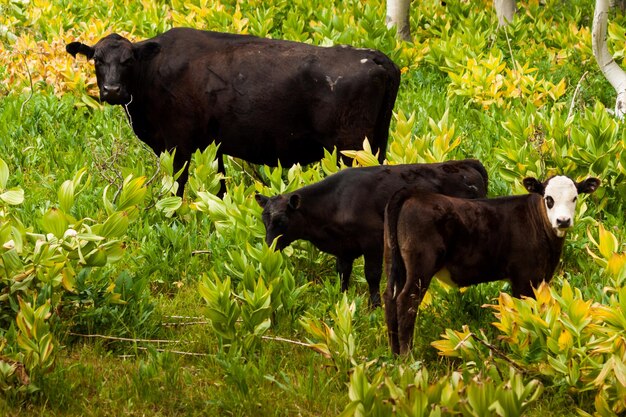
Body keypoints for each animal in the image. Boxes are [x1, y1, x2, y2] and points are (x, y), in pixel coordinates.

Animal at [66, 28, 400, 197]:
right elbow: (220, 188)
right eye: (96, 59)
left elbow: (178, 187)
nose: (112, 90)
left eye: (129, 61)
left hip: (351, 149)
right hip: (376, 143)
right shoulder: (210, 144)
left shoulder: (178, 144)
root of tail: (376, 57)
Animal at [254, 159, 488, 306]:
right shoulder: (344, 247)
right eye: (264, 219)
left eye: (282, 220)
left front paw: (373, 305)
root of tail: (465, 162)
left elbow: (372, 275)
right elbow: (342, 272)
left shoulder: (373, 241)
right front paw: (342, 299)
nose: (269, 247)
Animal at [382, 176, 596, 354]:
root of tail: (414, 193)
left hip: (394, 261)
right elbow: (522, 312)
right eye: (548, 198)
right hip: (421, 266)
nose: (563, 221)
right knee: (406, 301)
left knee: (390, 297)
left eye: (575, 198)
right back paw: (407, 356)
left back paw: (395, 353)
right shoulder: (524, 277)